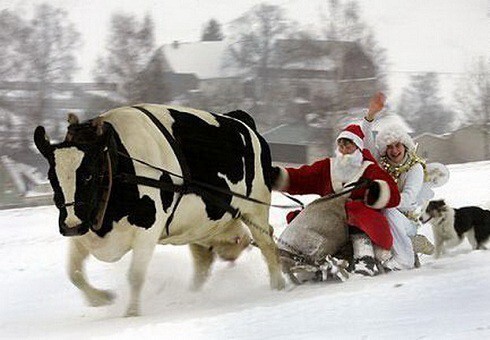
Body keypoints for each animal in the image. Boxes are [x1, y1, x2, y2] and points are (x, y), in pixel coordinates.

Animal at [34, 103, 286, 316]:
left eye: (88, 175)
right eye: (52, 178)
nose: (71, 225)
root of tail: (242, 120)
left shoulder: (147, 230)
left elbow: (135, 276)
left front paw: (131, 315)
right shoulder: (84, 232)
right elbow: (73, 273)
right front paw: (101, 299)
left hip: (255, 208)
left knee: (268, 246)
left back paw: (278, 286)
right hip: (201, 226)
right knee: (204, 261)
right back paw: (192, 296)